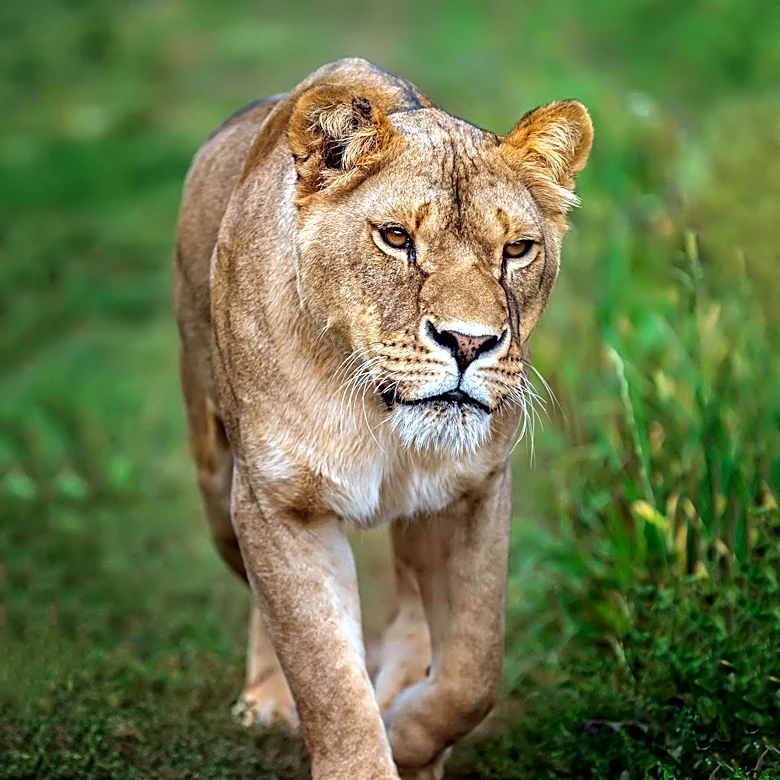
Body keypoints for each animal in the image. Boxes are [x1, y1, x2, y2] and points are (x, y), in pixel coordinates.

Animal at [173, 58, 592, 779]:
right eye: (396, 238)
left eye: (517, 249)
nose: (469, 343)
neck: (376, 411)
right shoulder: (277, 504)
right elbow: (326, 674)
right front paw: (364, 743)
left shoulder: (475, 491)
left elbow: (474, 669)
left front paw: (411, 733)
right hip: (216, 479)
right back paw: (268, 698)